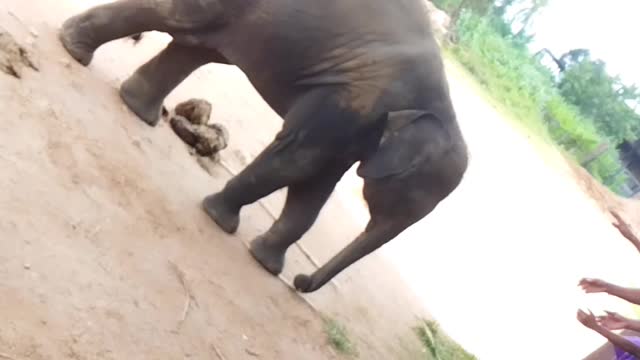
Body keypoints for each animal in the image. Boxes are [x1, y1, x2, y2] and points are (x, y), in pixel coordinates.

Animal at [58, 0, 470, 292]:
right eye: (405, 201)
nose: (300, 283)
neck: (445, 113)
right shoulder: (355, 101)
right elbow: (298, 162)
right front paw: (219, 220)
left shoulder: (354, 124)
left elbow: (315, 189)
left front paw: (265, 264)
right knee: (174, 19)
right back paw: (74, 50)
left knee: (197, 46)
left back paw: (134, 106)